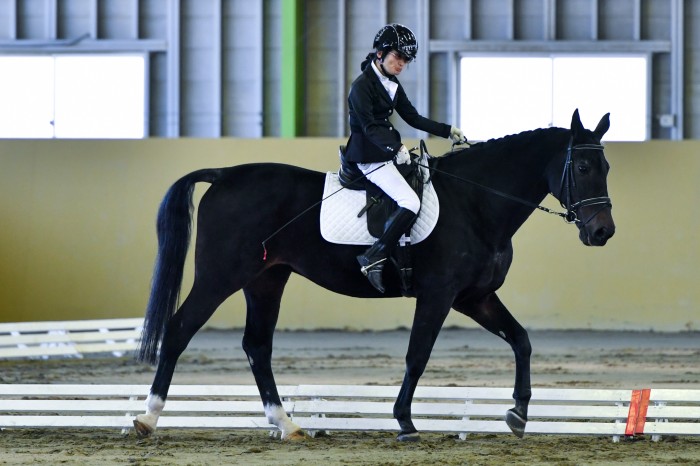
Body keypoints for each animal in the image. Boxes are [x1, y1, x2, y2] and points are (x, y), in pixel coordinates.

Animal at [135, 109, 612, 440]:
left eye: (606, 168)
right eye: (583, 168)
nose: (602, 232)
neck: (476, 202)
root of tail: (225, 175)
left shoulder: (474, 297)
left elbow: (521, 340)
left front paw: (518, 413)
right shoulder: (439, 295)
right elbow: (418, 355)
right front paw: (405, 422)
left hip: (266, 280)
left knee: (257, 346)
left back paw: (287, 425)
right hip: (220, 277)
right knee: (179, 330)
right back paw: (147, 418)